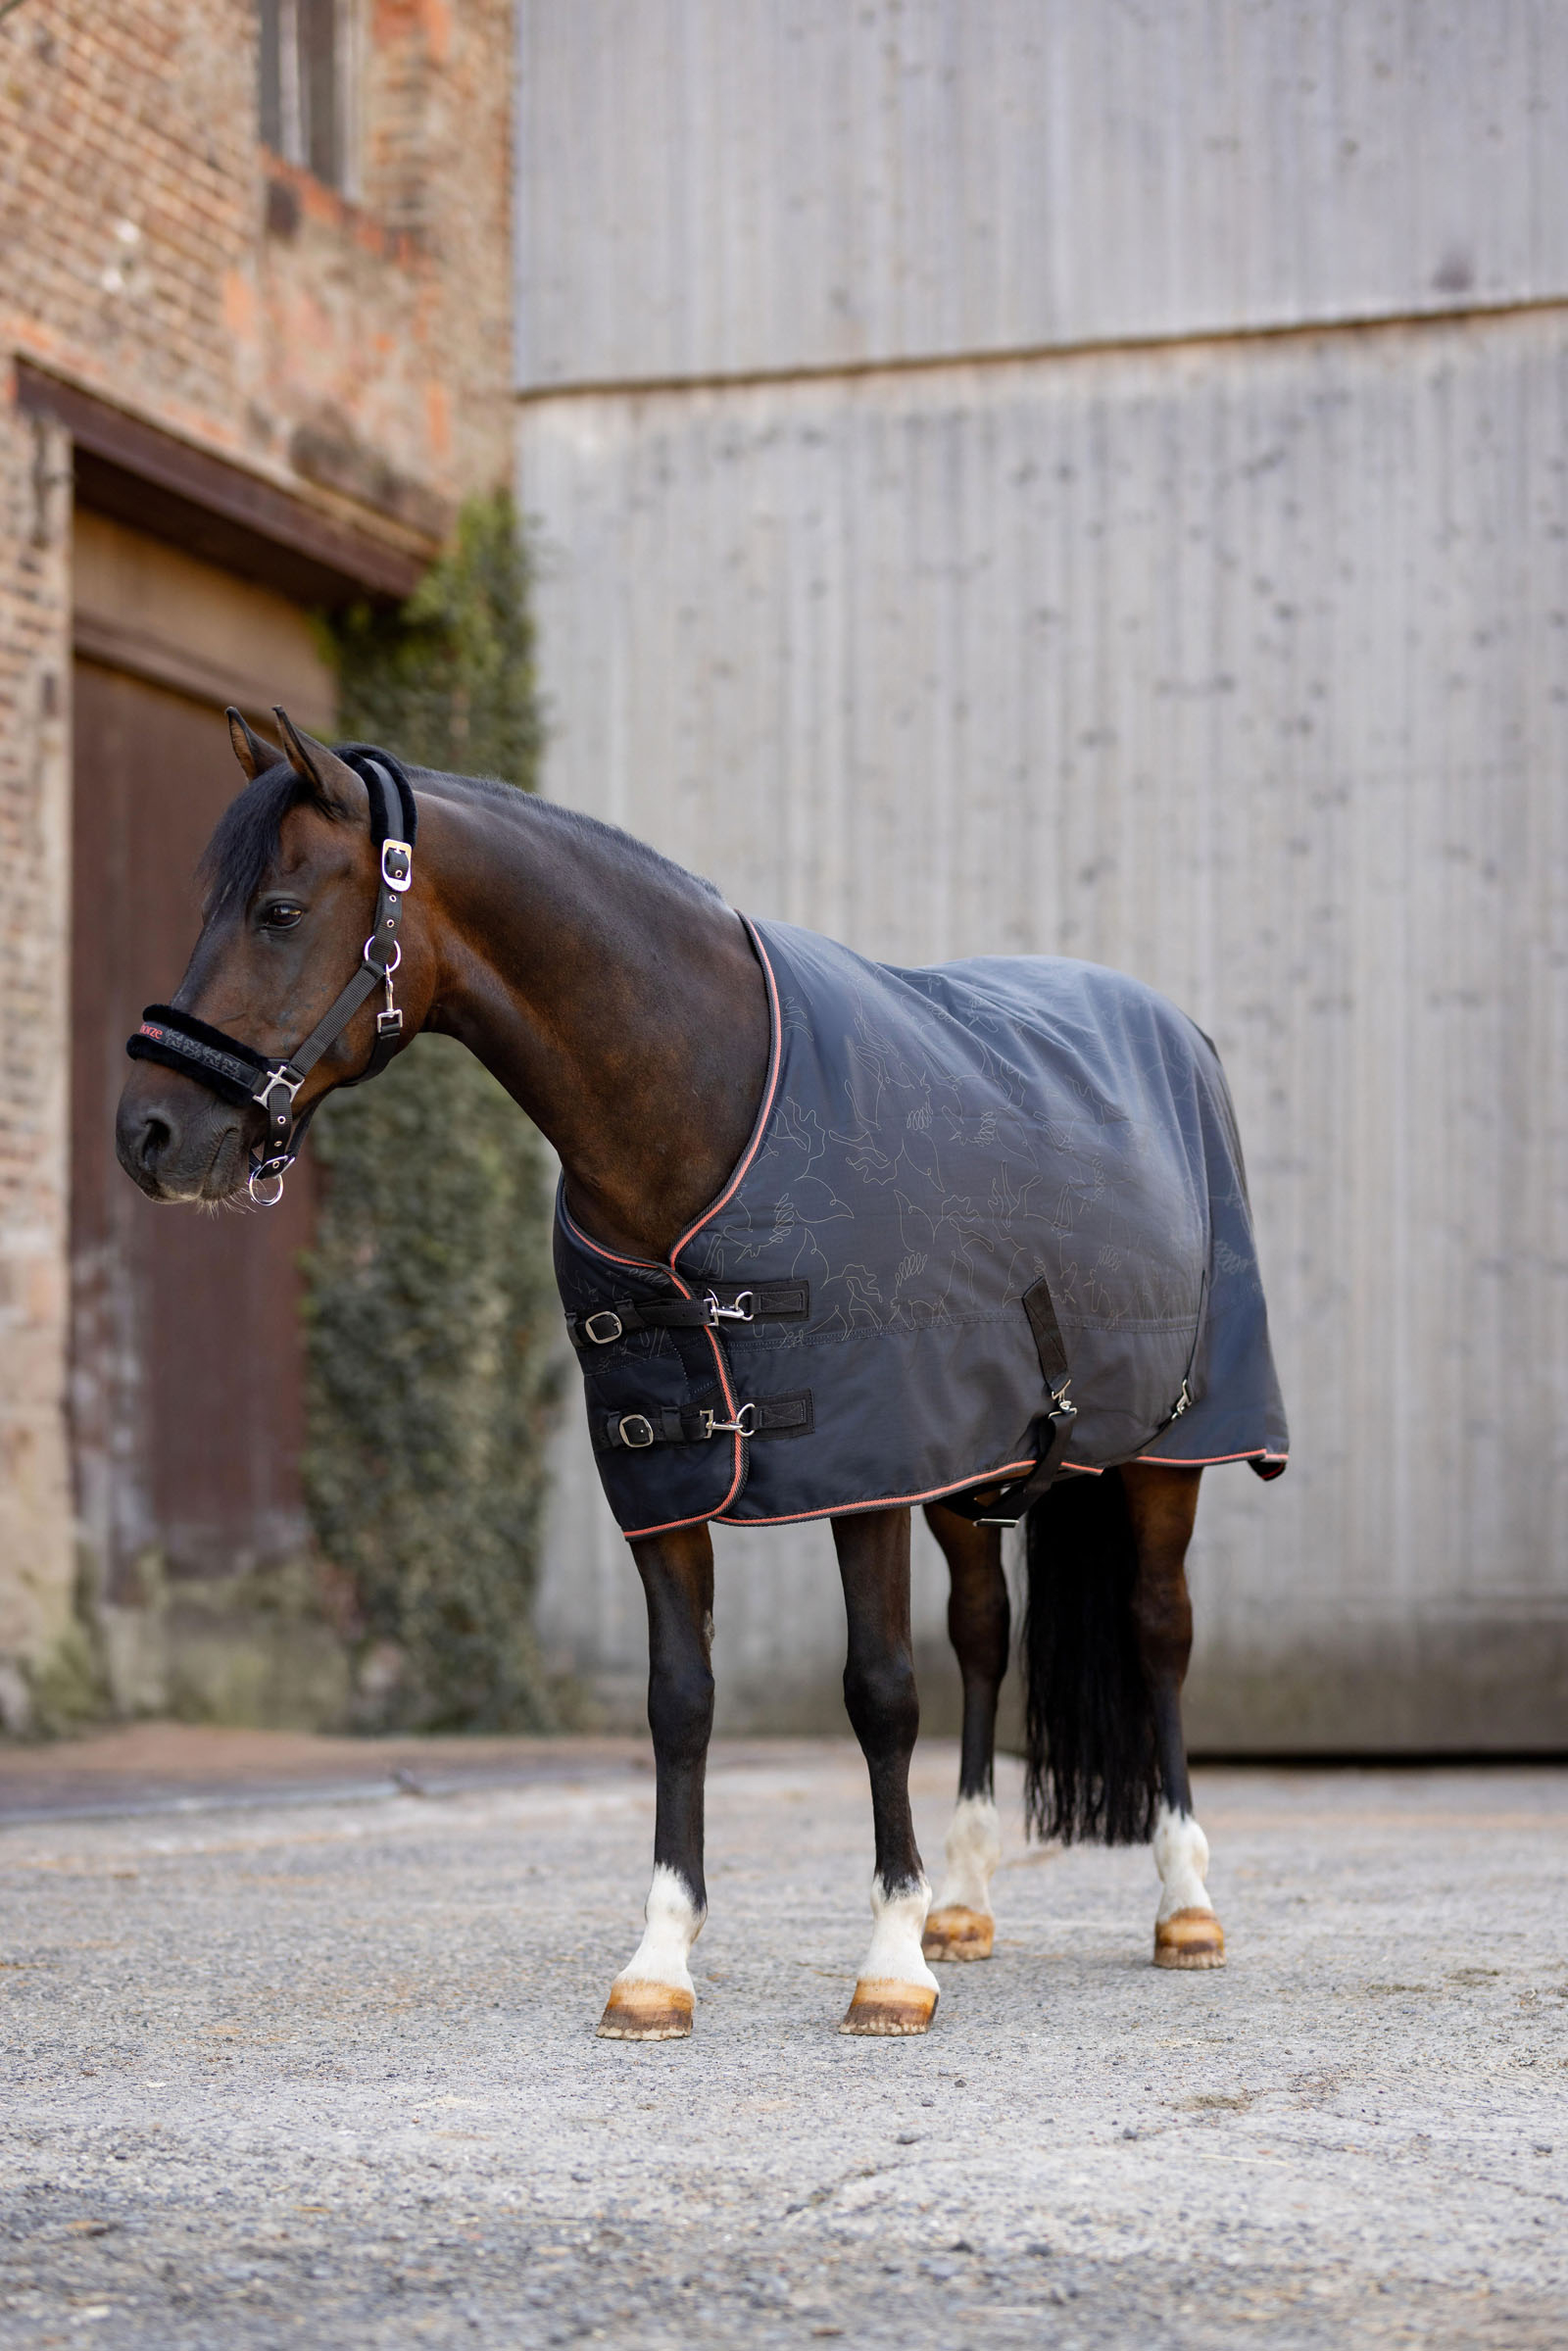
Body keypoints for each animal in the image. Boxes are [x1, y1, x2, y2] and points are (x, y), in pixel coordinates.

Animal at [116, 709, 1287, 2041]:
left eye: (277, 910)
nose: (148, 1132)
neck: (703, 1101)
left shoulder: (863, 1471)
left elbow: (880, 1690)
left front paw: (888, 1962)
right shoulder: (667, 1476)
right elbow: (680, 1699)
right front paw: (660, 1960)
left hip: (1169, 1451)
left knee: (1157, 1630)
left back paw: (1183, 1903)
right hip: (972, 1464)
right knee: (986, 1635)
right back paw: (967, 1900)